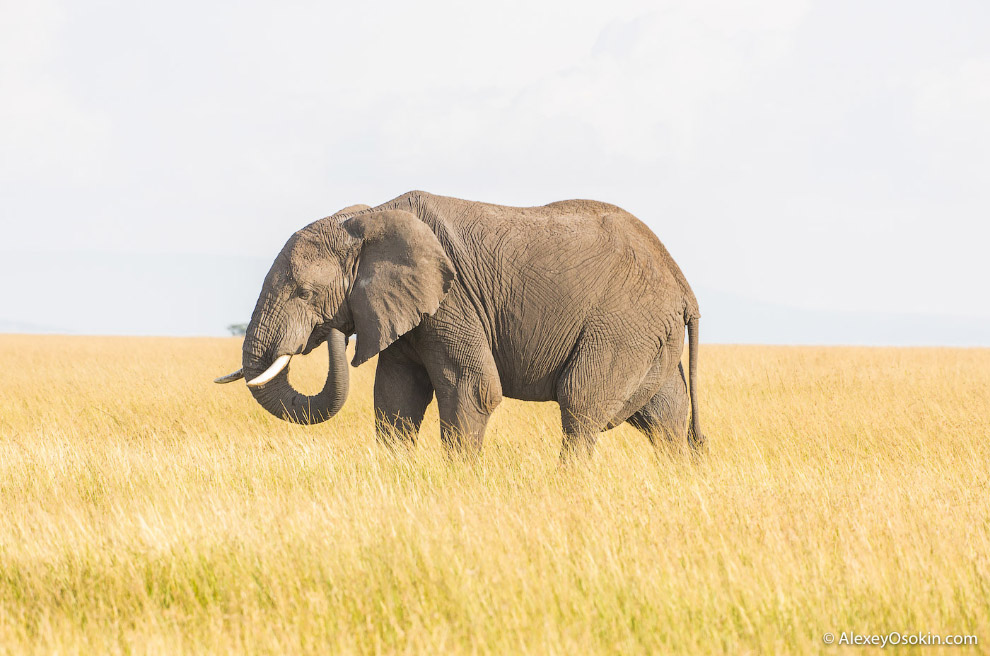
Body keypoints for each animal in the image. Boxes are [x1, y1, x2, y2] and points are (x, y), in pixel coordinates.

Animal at [217, 191, 708, 462]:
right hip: (649, 333)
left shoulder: (453, 300)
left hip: (624, 325)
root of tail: (683, 284)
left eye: (303, 292)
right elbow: (396, 397)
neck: (369, 216)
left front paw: (459, 481)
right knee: (665, 417)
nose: (336, 331)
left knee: (581, 405)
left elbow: (474, 387)